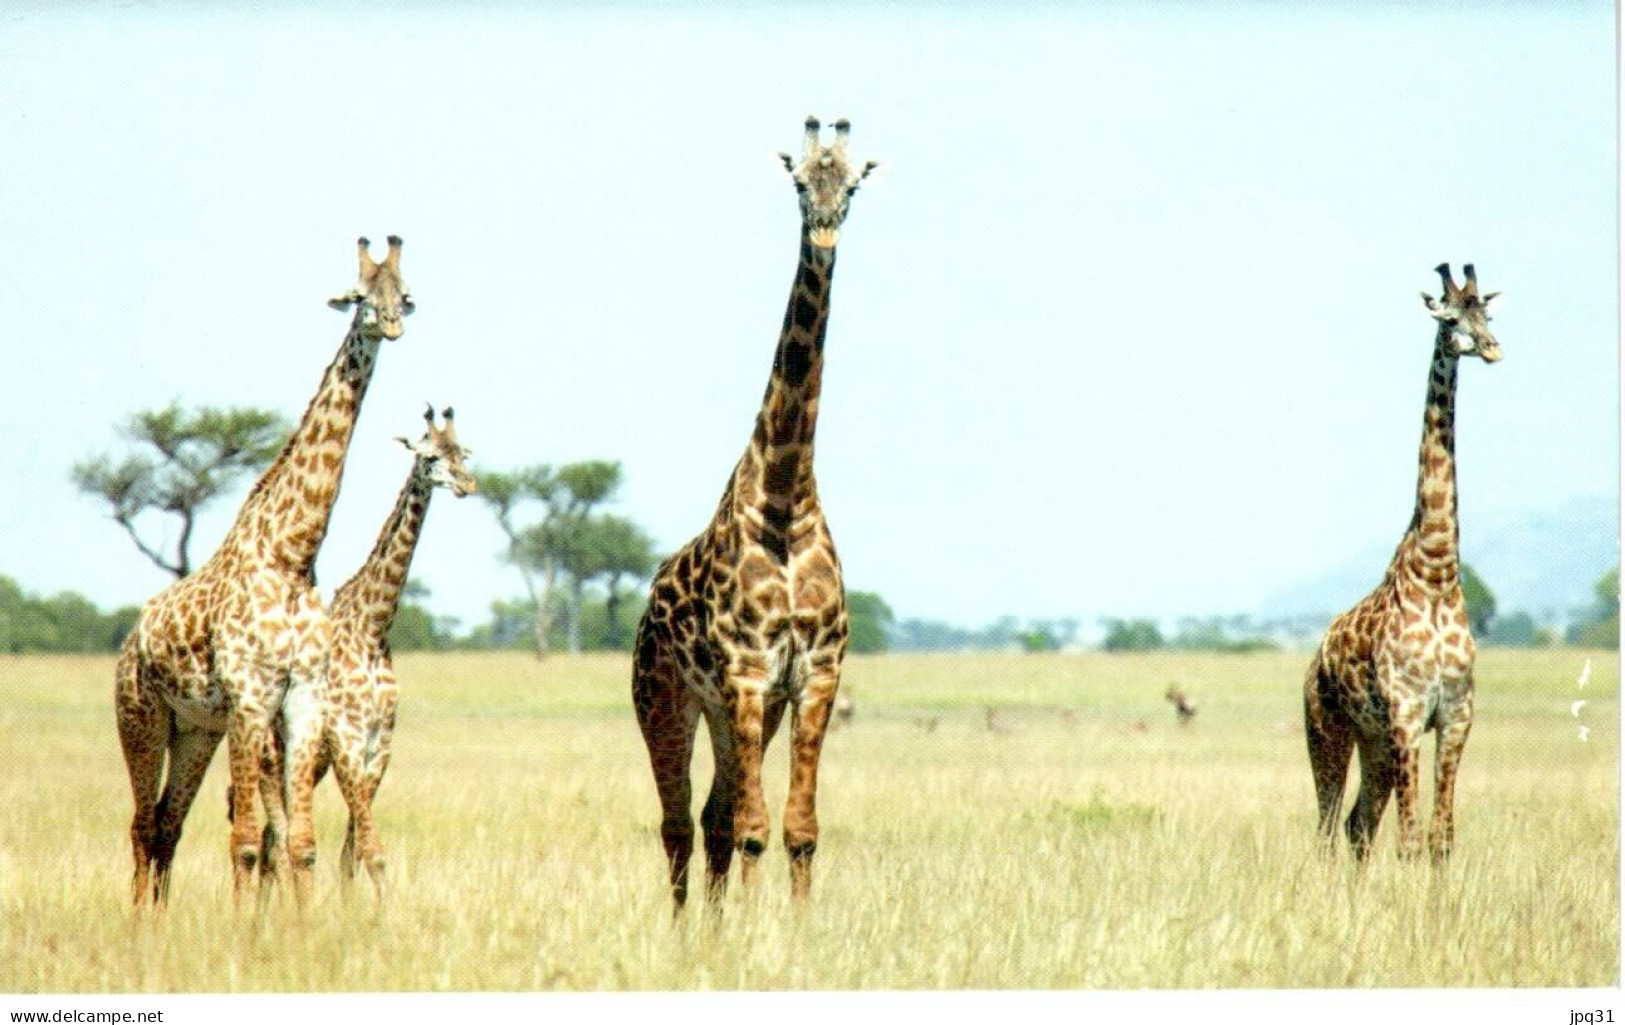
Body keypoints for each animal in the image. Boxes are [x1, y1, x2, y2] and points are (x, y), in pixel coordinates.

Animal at [116, 233, 412, 903]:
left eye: (404, 292)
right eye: (359, 295)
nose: (391, 323)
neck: (293, 552)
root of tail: (129, 643)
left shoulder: (301, 698)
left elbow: (300, 843)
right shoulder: (250, 699)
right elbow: (248, 842)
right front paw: (246, 927)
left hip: (194, 729)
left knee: (167, 825)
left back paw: (160, 920)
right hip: (142, 719)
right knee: (142, 825)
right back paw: (140, 924)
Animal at [312, 404, 474, 896]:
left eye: (463, 453)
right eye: (430, 456)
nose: (467, 484)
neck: (372, 627)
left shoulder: (378, 743)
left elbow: (353, 854)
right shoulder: (345, 736)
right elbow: (373, 850)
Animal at [633, 116, 884, 909]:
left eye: (851, 183)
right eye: (801, 181)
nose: (825, 229)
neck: (784, 495)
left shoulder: (811, 676)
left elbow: (797, 828)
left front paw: (792, 929)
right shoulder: (745, 673)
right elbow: (753, 828)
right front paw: (754, 928)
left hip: (735, 710)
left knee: (711, 816)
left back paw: (711, 924)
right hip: (665, 698)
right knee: (678, 821)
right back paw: (685, 927)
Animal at [1300, 259, 1501, 864]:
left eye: (1487, 314)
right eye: (1451, 317)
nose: (1492, 348)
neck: (1435, 572)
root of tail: (1314, 660)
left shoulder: (1455, 716)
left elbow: (1440, 838)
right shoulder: (1408, 715)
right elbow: (1411, 839)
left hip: (1374, 742)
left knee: (1358, 825)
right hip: (1329, 731)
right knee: (1328, 828)